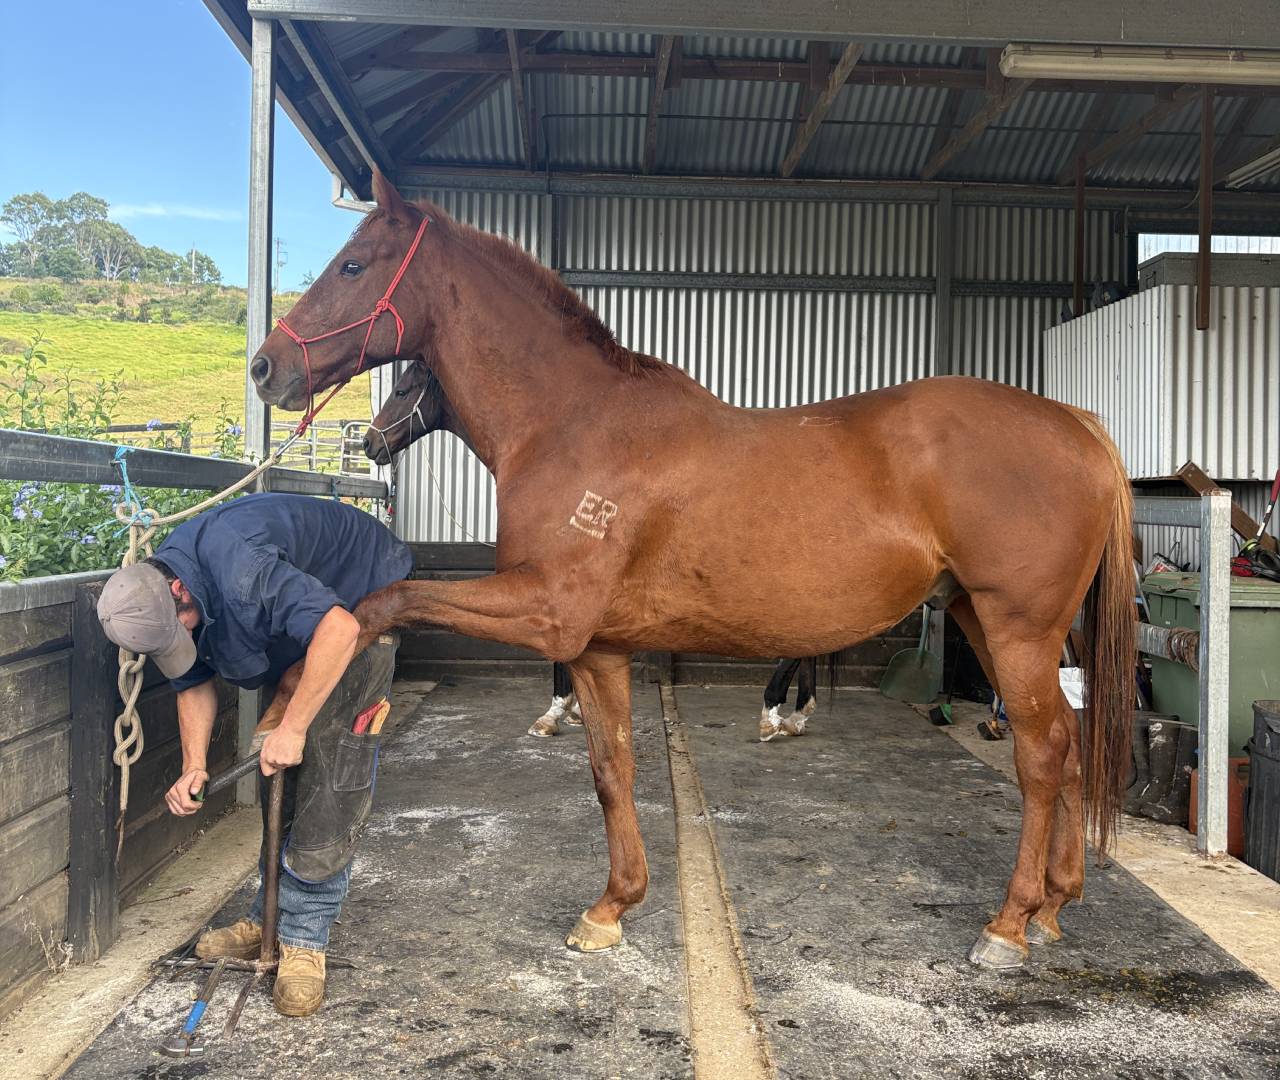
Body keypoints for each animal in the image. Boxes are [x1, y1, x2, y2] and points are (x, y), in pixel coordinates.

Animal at [365, 358, 818, 743]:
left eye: (402, 390)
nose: (370, 443)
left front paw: (554, 713)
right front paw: (572, 710)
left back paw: (772, 716)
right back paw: (797, 715)